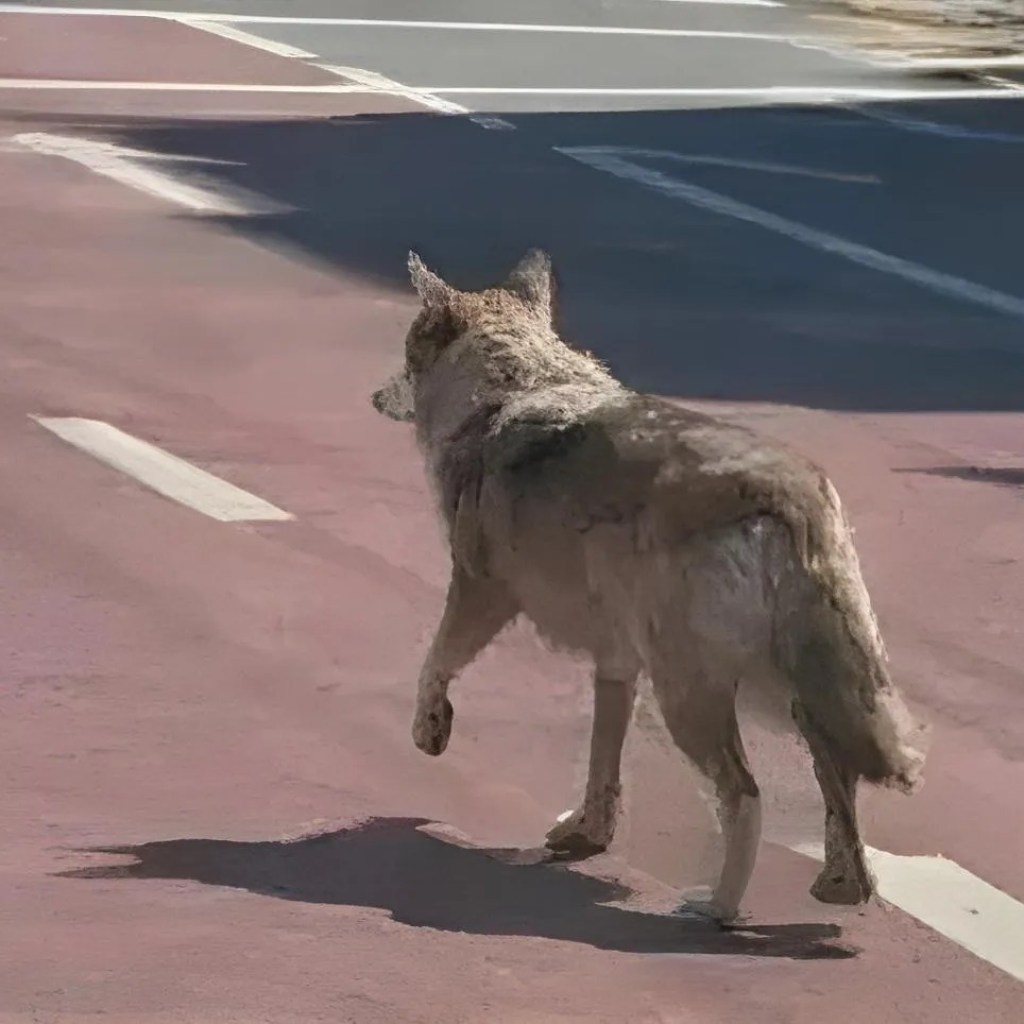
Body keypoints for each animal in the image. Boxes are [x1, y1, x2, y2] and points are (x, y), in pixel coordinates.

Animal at [371, 249, 926, 922]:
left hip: (694, 696)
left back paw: (715, 909)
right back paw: (841, 887)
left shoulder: (481, 591)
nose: (374, 396)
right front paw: (585, 835)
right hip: (789, 693)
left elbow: (434, 665)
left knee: (745, 796)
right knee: (838, 778)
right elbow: (601, 765)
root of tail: (791, 490)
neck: (515, 385)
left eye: (405, 358)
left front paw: (430, 731)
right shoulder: (616, 663)